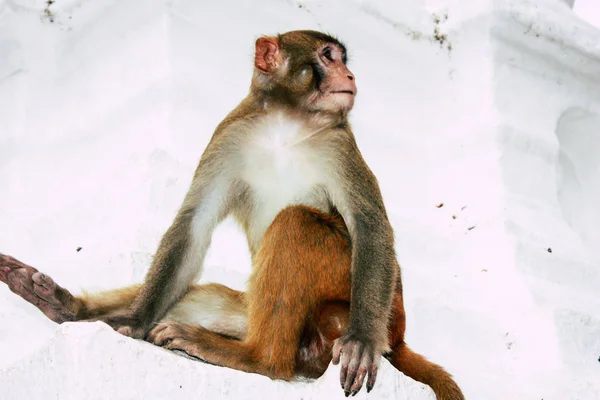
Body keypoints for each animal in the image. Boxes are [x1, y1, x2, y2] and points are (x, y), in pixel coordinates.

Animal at [0, 29, 464, 398]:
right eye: (329, 56)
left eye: (340, 59)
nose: (349, 77)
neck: (285, 125)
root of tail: (398, 336)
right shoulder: (229, 135)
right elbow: (193, 224)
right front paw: (132, 321)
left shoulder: (339, 143)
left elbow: (369, 227)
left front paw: (362, 340)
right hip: (263, 313)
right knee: (206, 292)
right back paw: (65, 307)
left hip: (363, 303)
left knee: (298, 223)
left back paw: (258, 358)